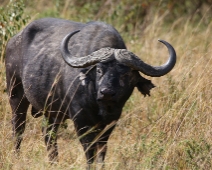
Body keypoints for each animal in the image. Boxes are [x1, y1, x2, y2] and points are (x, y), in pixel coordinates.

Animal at [5, 17, 176, 169]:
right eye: (99, 70)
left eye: (126, 74)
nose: (106, 92)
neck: (99, 104)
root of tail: (14, 40)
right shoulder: (80, 119)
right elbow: (89, 148)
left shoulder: (111, 121)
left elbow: (102, 148)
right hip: (16, 95)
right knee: (18, 128)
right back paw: (17, 156)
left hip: (52, 111)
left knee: (48, 134)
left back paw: (54, 162)